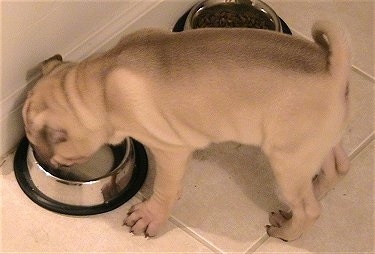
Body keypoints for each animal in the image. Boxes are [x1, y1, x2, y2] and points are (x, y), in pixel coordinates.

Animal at [23, 20, 352, 241]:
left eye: (59, 159)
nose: (47, 162)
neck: (98, 84)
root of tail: (333, 71)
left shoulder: (171, 151)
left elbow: (165, 187)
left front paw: (150, 217)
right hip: (315, 144)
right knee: (337, 167)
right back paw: (315, 191)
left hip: (287, 160)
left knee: (310, 210)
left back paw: (286, 231)